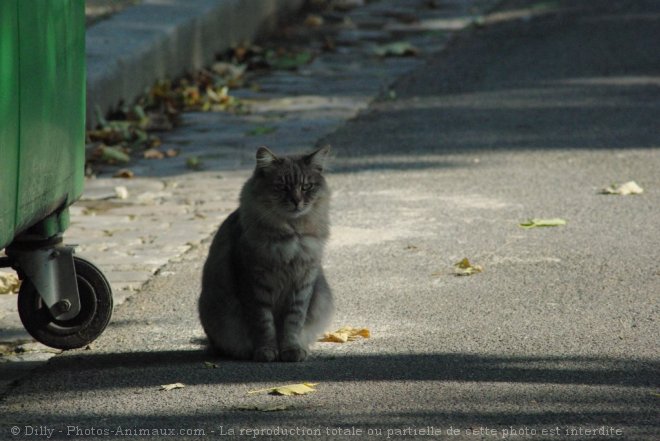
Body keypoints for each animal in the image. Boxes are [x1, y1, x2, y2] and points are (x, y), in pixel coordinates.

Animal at [200, 144, 336, 360]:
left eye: (306, 187)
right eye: (282, 186)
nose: (297, 201)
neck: (292, 234)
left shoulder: (303, 283)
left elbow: (293, 323)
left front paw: (292, 350)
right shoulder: (254, 284)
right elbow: (264, 324)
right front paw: (266, 351)